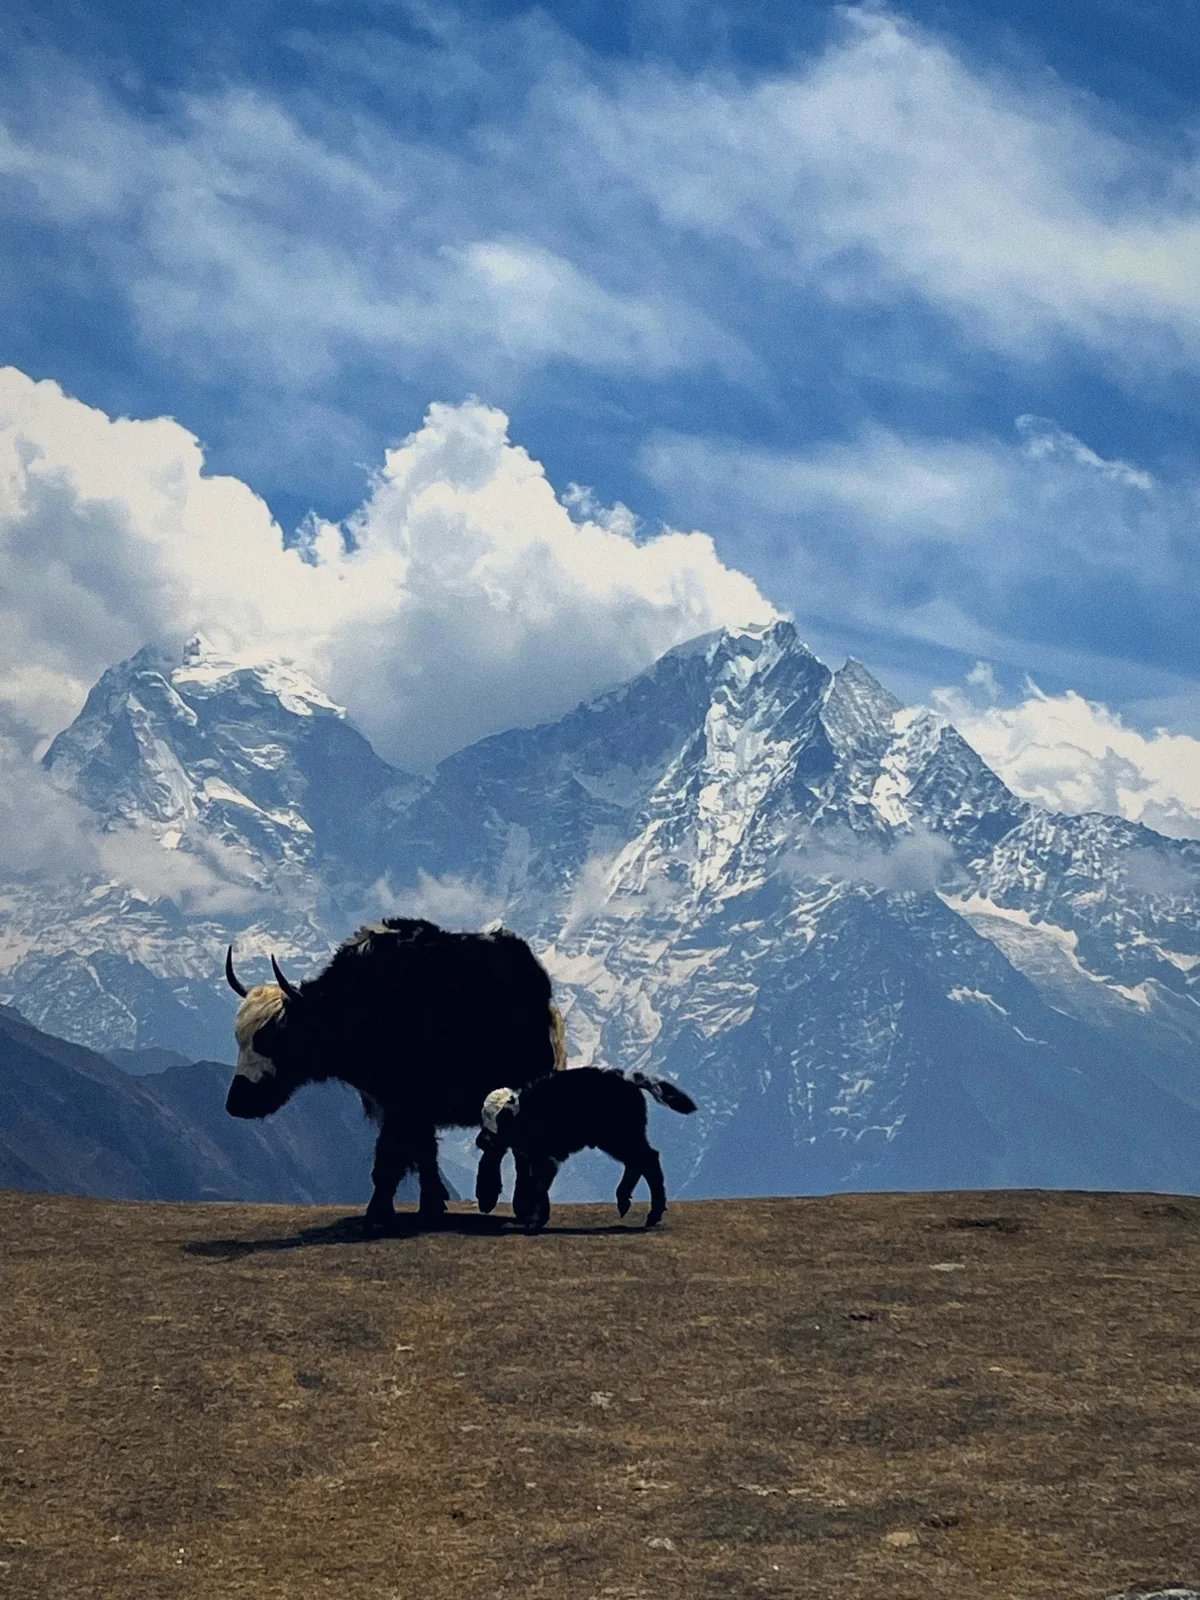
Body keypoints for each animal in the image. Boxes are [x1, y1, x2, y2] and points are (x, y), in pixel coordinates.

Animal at [224, 918, 566, 1231]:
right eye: (239, 1038)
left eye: (273, 1037)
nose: (236, 1104)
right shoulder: (405, 1105)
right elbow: (423, 1151)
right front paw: (429, 1207)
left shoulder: (404, 1100)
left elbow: (389, 1157)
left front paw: (376, 1215)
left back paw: (526, 1209)